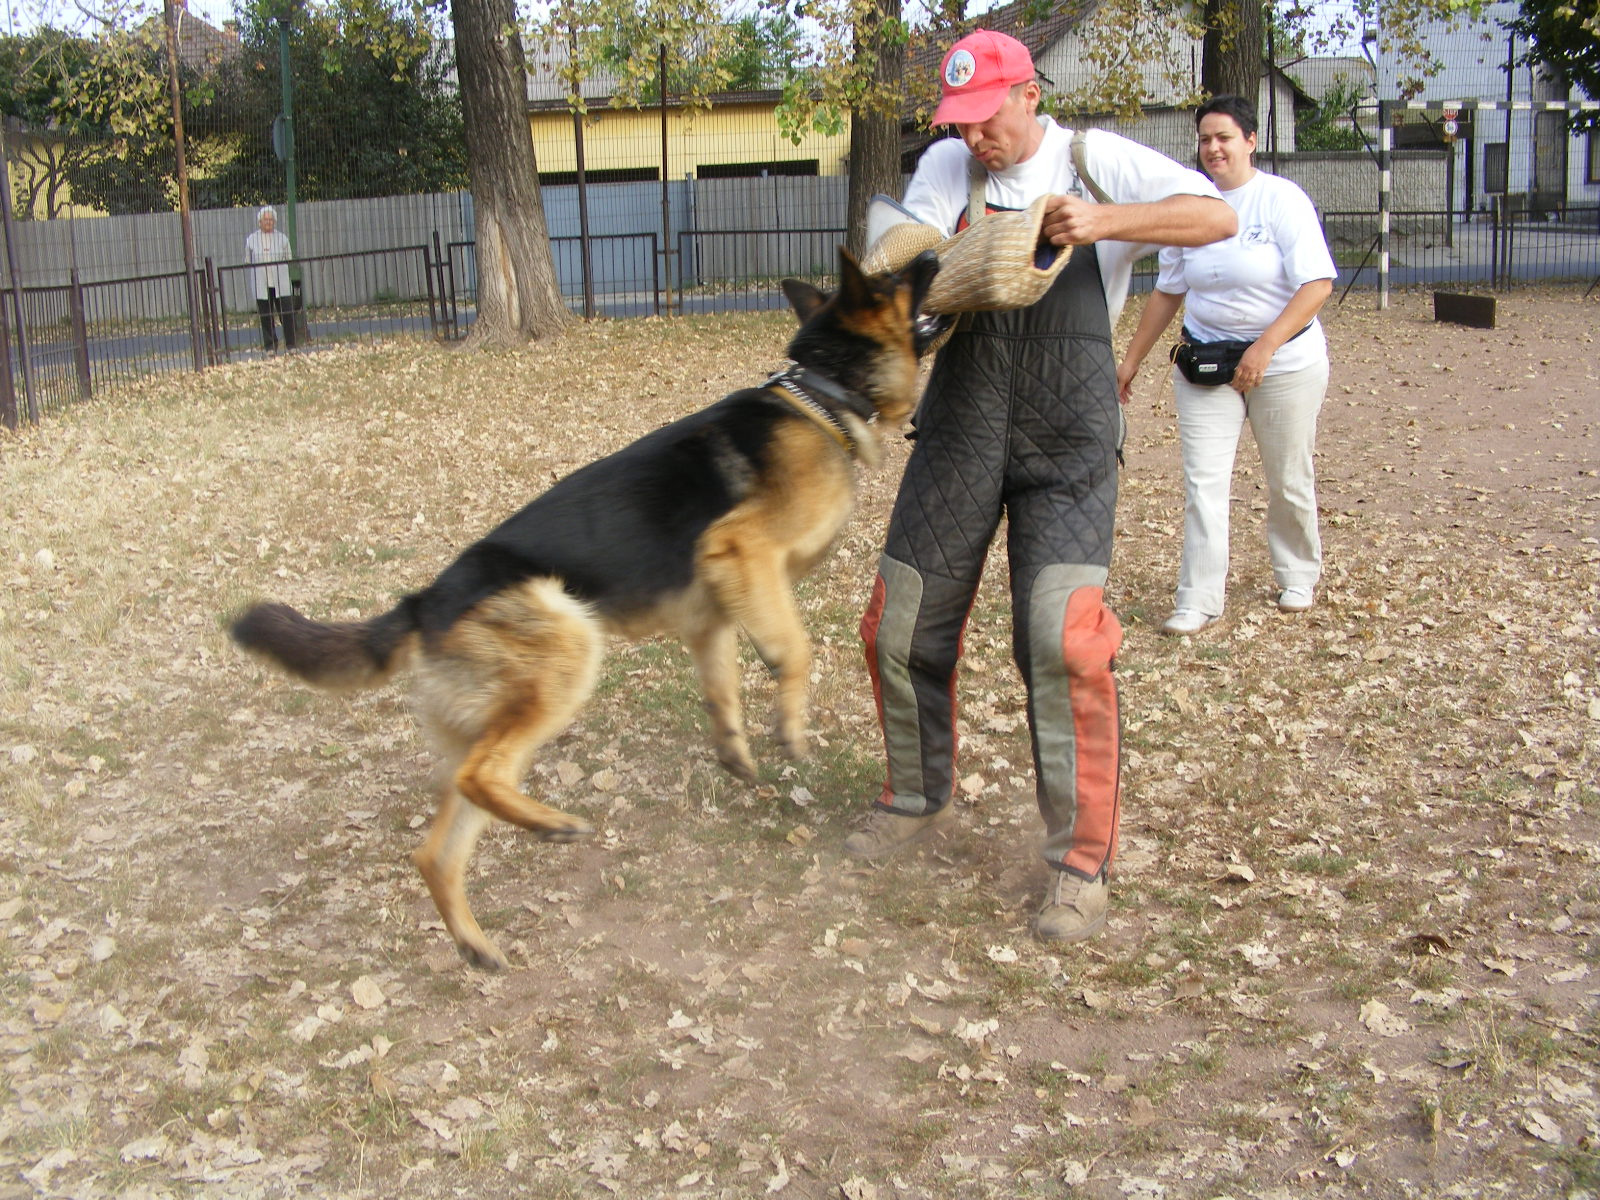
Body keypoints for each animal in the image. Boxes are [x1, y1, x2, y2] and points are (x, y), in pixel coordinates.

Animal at [232, 249, 940, 972]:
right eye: (895, 280)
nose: (934, 253)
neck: (823, 392)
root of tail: (423, 601)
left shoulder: (711, 614)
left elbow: (722, 689)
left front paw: (735, 749)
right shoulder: (743, 550)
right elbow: (795, 648)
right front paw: (789, 722)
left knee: (435, 848)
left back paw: (476, 941)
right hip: (567, 652)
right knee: (480, 777)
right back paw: (552, 824)